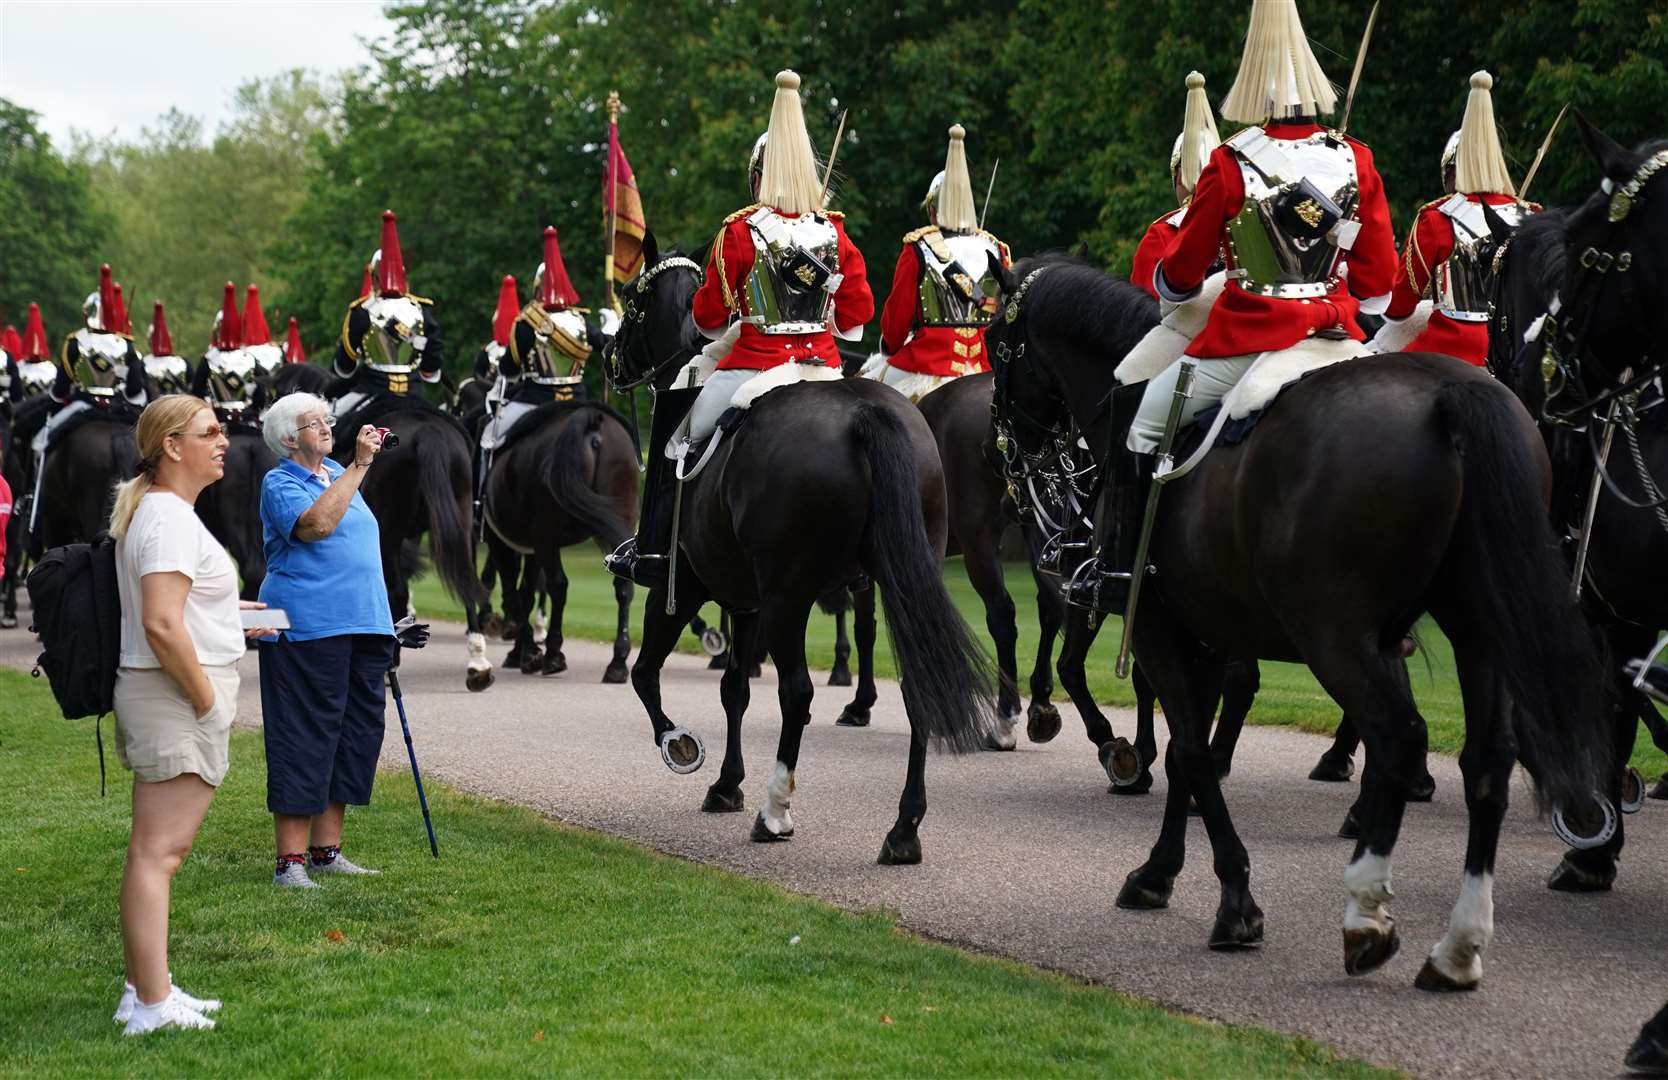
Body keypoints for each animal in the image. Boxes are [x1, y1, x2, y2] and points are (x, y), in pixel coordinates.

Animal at [607, 240, 987, 868]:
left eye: (634, 296)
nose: (611, 359)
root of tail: (865, 412)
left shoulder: (683, 586)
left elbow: (646, 675)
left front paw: (681, 746)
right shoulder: (746, 601)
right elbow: (733, 689)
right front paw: (725, 783)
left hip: (789, 597)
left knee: (798, 692)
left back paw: (776, 812)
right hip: (899, 580)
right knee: (917, 688)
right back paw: (903, 829)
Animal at [987, 253, 1614, 988]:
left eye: (997, 346)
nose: (1010, 456)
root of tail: (1448, 395)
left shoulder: (1161, 631)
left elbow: (1191, 751)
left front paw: (1234, 901)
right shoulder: (1204, 635)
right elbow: (1185, 752)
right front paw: (1158, 871)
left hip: (1333, 633)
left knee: (1399, 738)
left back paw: (1367, 913)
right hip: (1476, 628)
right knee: (1486, 761)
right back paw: (1457, 946)